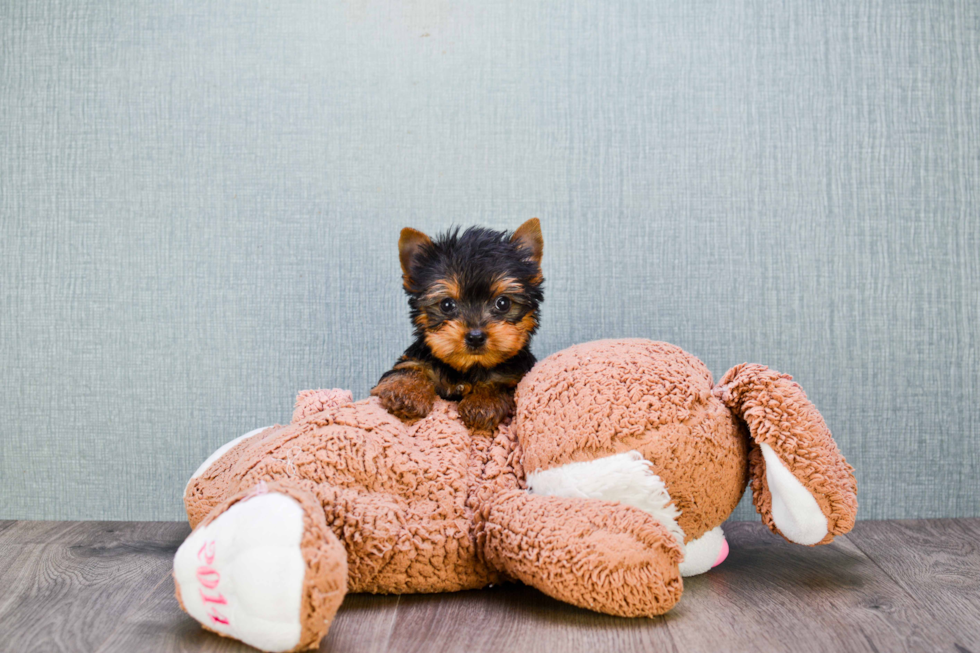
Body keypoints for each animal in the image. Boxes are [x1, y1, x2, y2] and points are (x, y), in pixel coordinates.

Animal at [374, 219, 548, 430]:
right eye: (447, 304)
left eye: (503, 303)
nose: (475, 337)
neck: (468, 368)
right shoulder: (417, 357)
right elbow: (409, 368)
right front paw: (406, 391)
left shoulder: (515, 374)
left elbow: (499, 382)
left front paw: (483, 403)